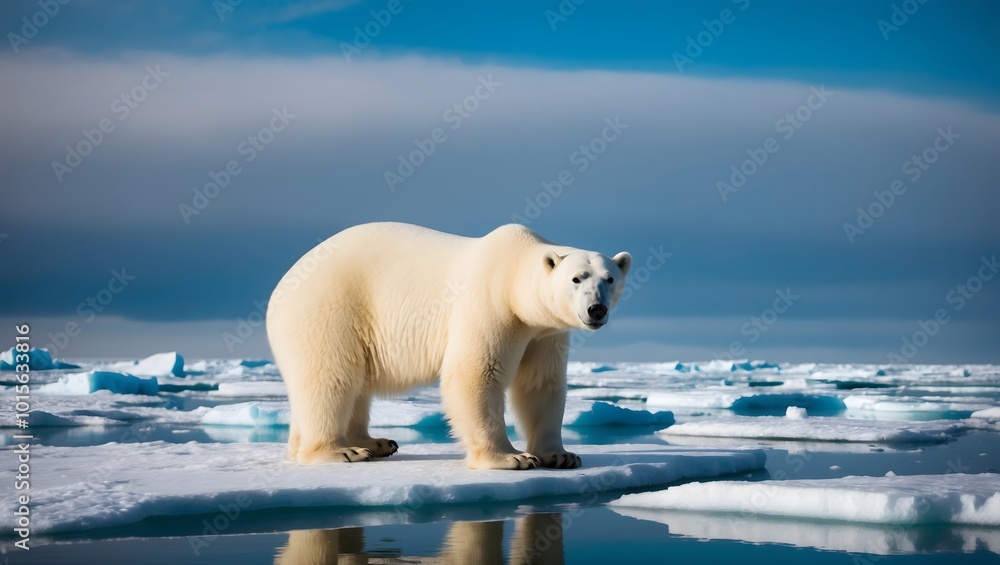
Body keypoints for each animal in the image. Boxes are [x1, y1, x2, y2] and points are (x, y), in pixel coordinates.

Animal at [266, 223, 632, 470]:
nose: (596, 310)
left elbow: (540, 384)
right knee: (332, 377)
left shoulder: (544, 333)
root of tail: (279, 288)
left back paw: (375, 442)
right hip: (329, 309)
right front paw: (511, 457)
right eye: (576, 278)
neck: (512, 273)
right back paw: (341, 451)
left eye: (609, 279)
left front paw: (560, 454)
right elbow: (475, 373)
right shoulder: (489, 305)